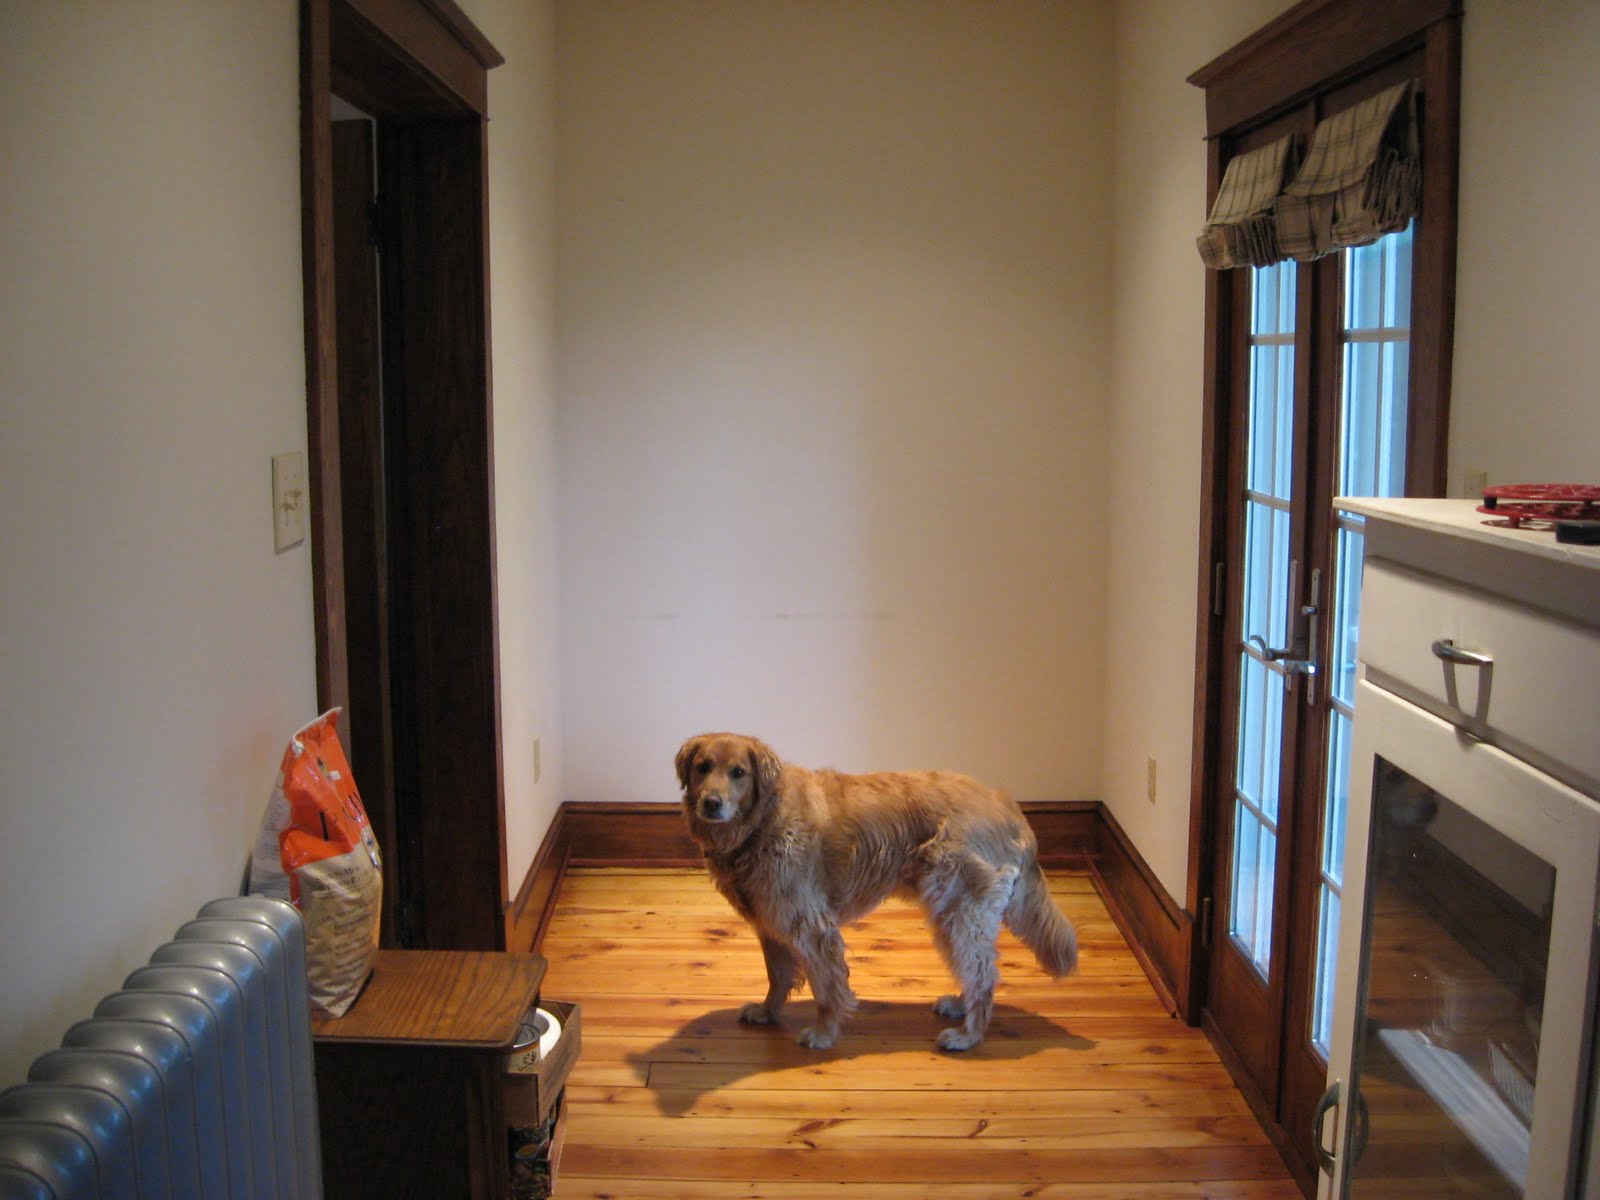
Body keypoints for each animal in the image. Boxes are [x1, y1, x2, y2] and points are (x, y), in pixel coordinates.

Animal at [676, 733, 1078, 1052]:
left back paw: (969, 1035)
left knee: (983, 973)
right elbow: (777, 976)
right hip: (951, 914)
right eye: (703, 767)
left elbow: (828, 989)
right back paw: (961, 1008)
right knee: (976, 968)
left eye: (738, 772)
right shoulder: (770, 923)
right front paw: (766, 1012)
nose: (711, 803)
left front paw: (824, 1034)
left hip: (960, 908)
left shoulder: (812, 927)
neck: (762, 821)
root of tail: (1007, 804)